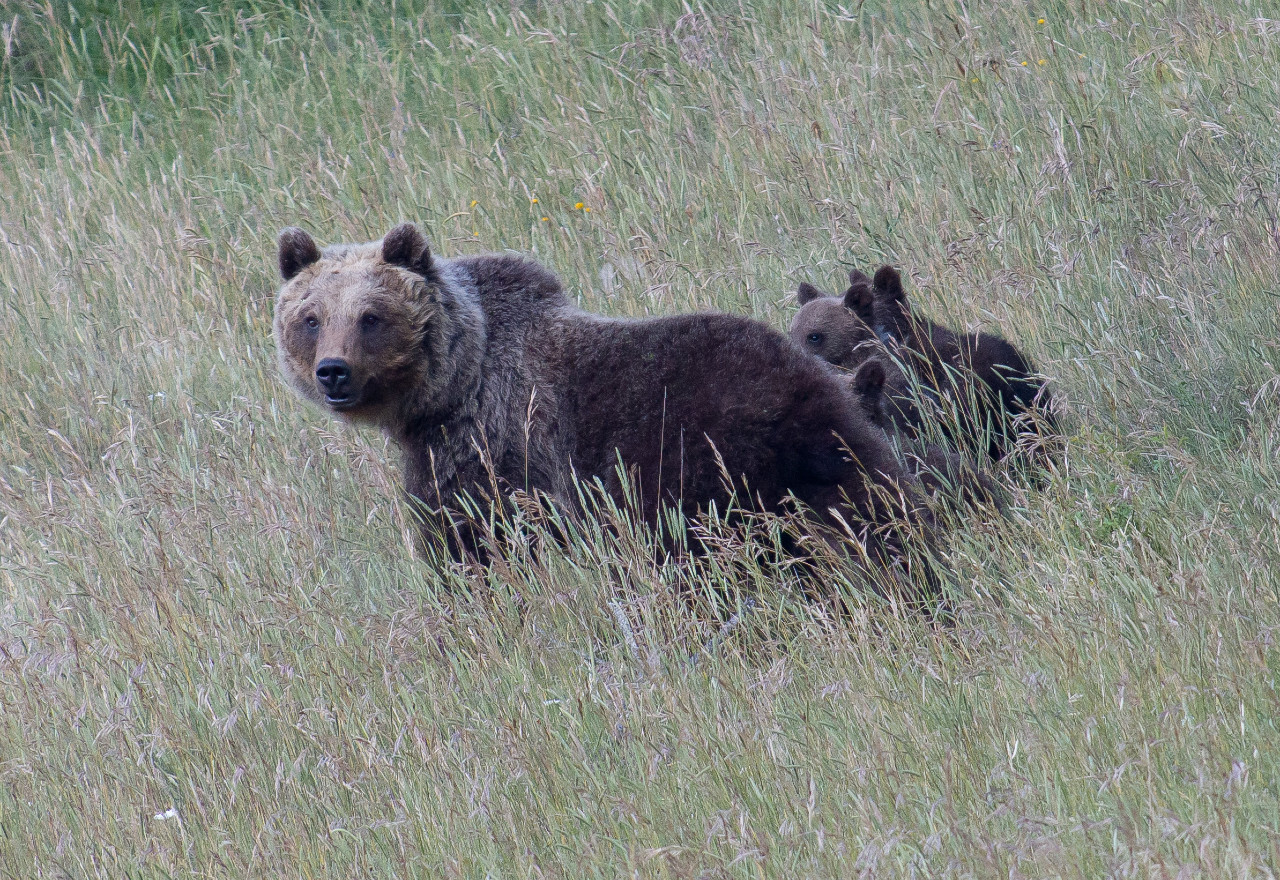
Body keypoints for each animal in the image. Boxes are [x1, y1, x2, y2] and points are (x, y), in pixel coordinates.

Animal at [272, 220, 931, 593]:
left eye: (370, 316)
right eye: (311, 317)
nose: (333, 372)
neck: (457, 381)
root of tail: (804, 392)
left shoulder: (490, 450)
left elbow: (471, 542)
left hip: (698, 462)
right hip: (833, 459)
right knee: (881, 521)